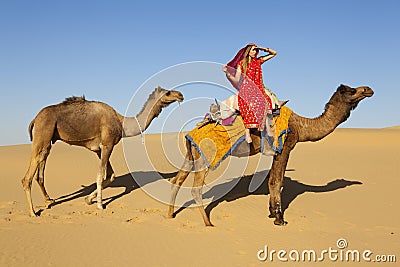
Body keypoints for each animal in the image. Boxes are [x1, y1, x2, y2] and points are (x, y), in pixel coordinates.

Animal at [22, 87, 184, 217]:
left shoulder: (99, 150)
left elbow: (110, 176)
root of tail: (35, 118)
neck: (121, 122)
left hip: (48, 140)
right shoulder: (107, 145)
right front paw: (100, 205)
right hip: (43, 132)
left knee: (40, 169)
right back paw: (33, 212)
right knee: (28, 176)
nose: (180, 95)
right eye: (168, 92)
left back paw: (49, 200)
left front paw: (88, 199)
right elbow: (100, 176)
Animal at [167, 85, 374, 227]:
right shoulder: (286, 146)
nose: (368, 89)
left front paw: (271, 213)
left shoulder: (276, 151)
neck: (302, 126)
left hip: (191, 154)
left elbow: (272, 179)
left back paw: (170, 215)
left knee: (177, 180)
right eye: (350, 90)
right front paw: (280, 219)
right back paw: (208, 223)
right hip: (206, 155)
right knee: (195, 188)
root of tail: (190, 133)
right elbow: (277, 181)